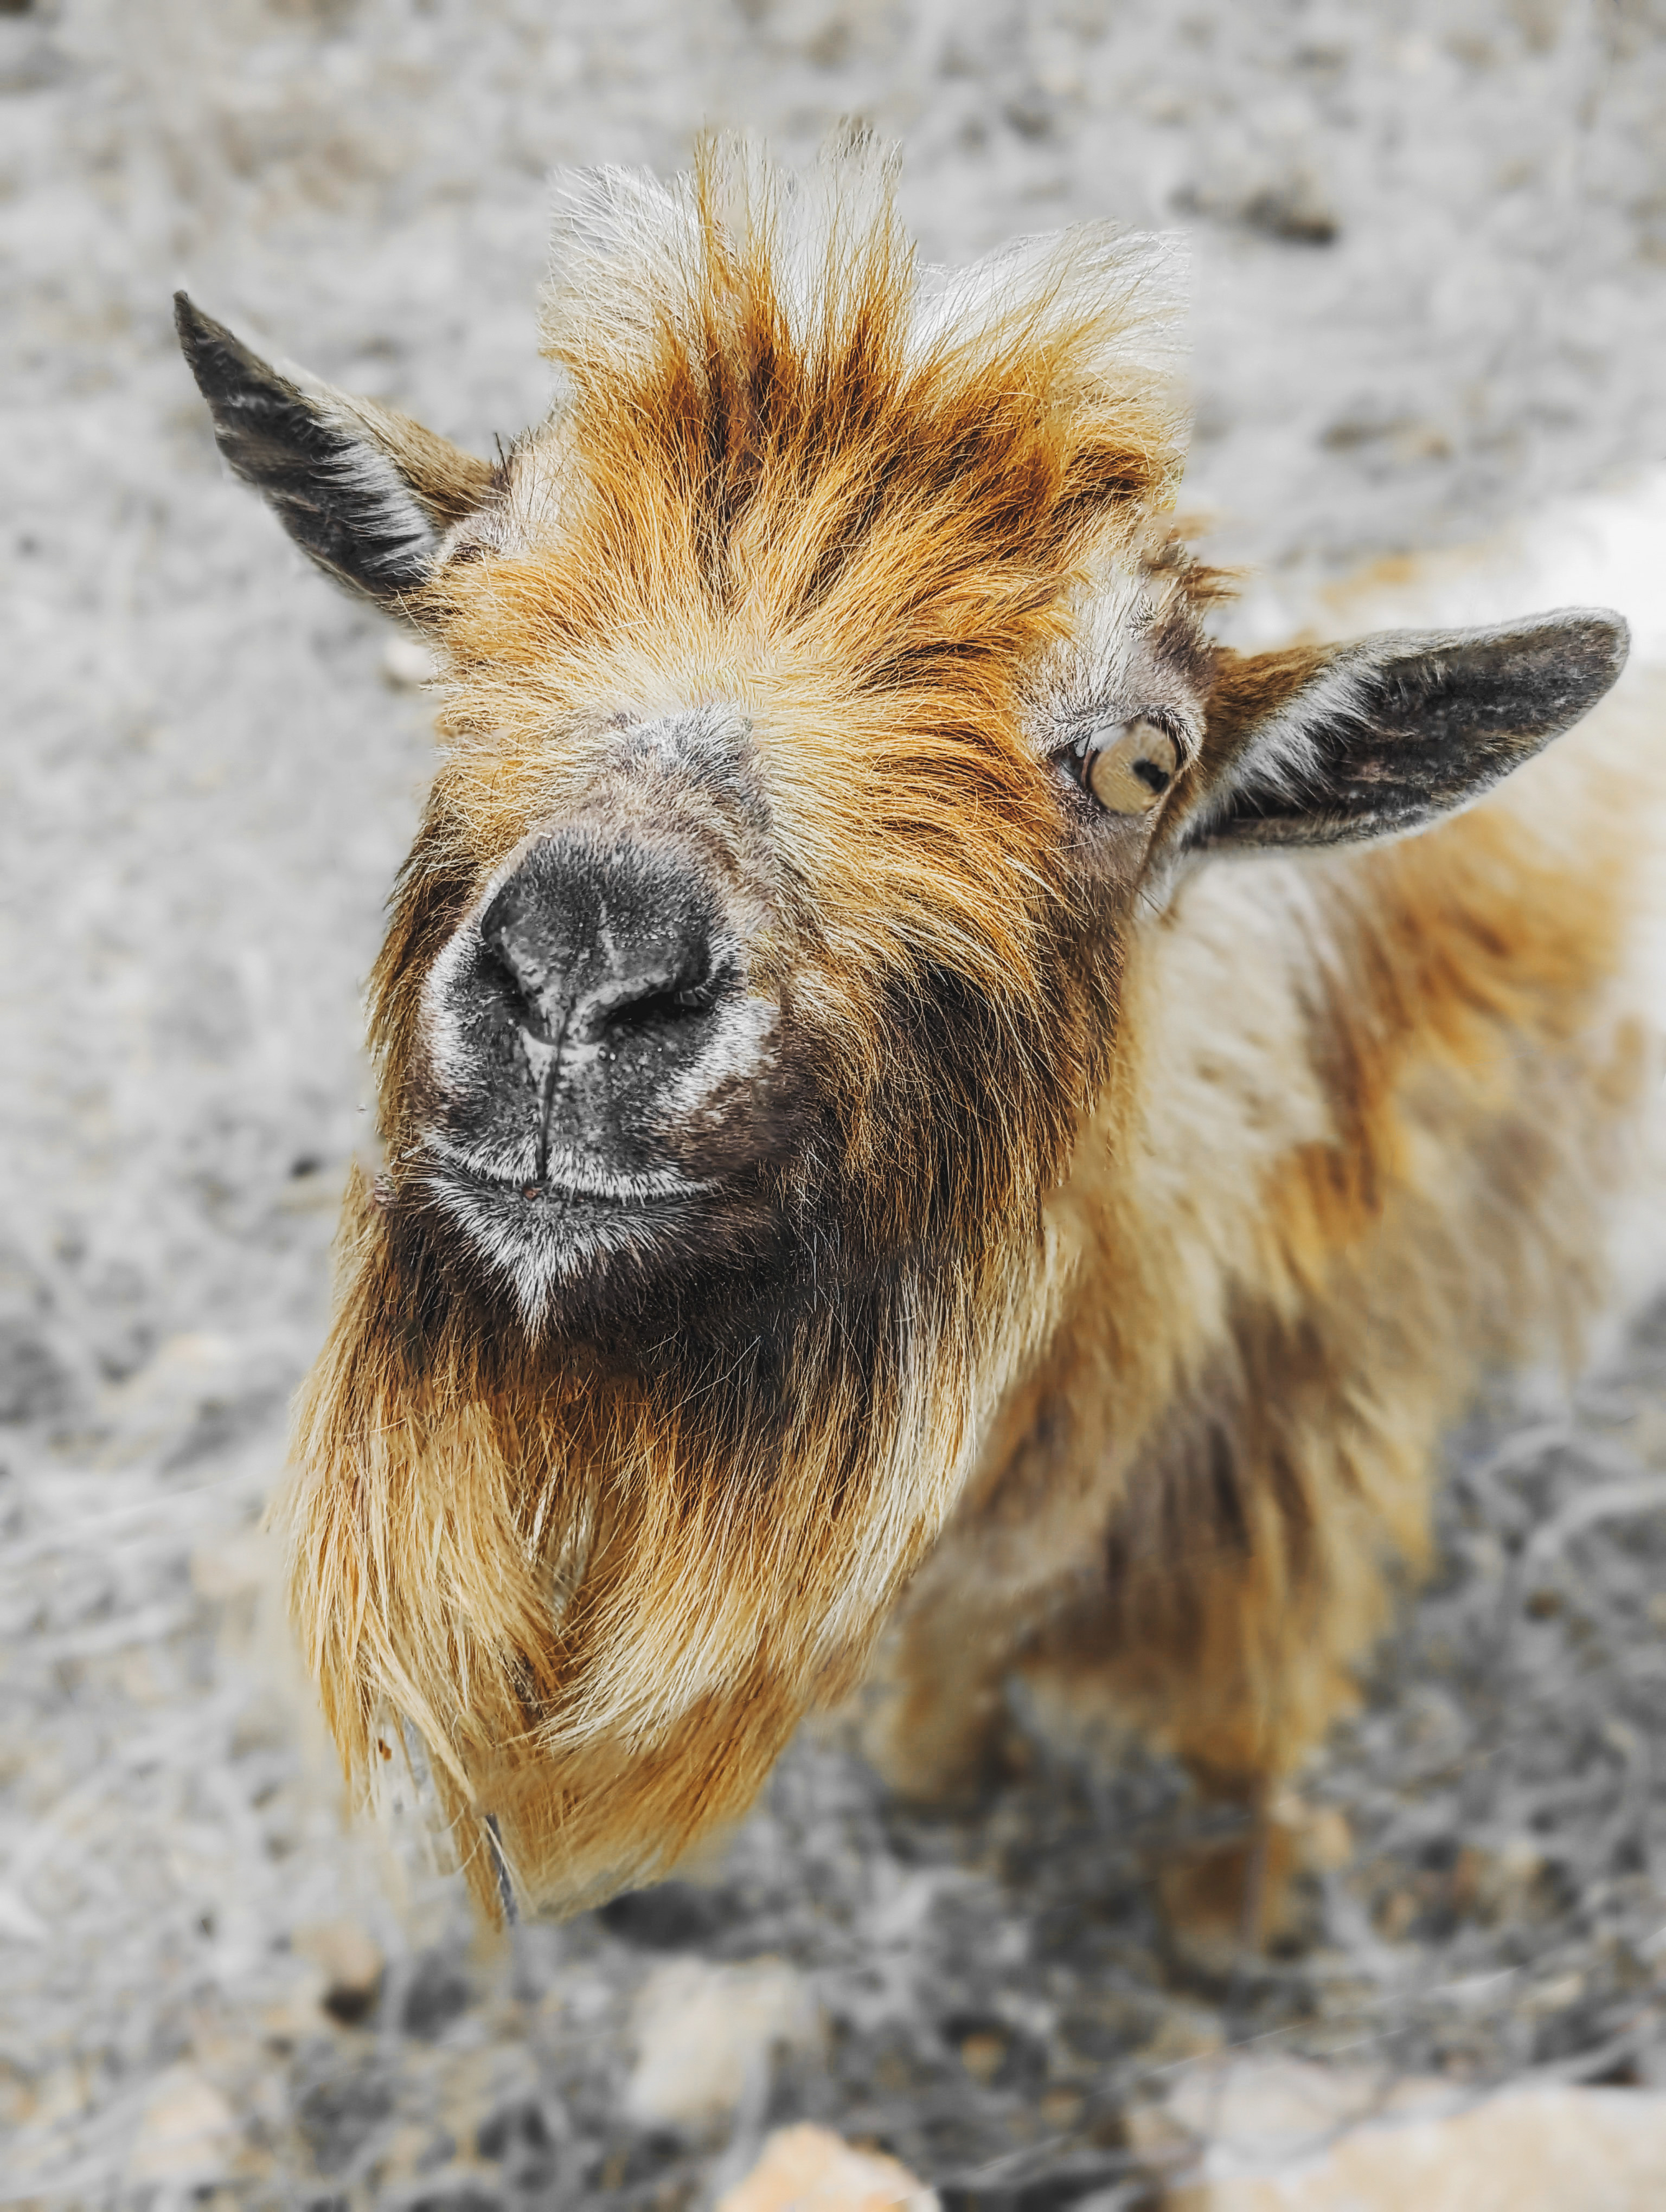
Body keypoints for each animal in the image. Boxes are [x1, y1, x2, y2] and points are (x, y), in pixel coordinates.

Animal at [177, 131, 1660, 1927]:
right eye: (466, 618)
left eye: (1142, 764)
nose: (589, 960)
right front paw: (937, 1776)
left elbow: (1239, 1764)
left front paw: (1222, 1920)